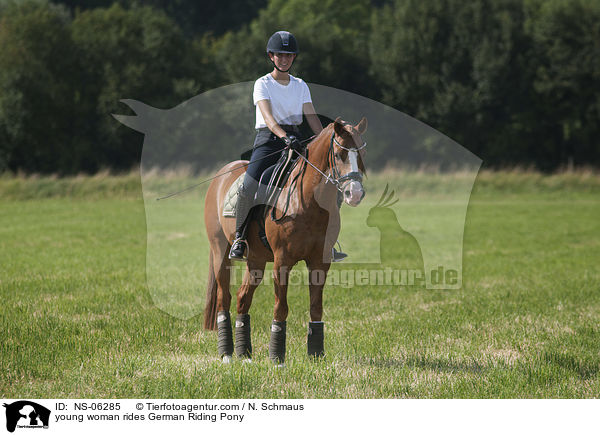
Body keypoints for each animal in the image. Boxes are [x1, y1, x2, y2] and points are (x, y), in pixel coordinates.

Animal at [204, 116, 368, 364]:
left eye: (360, 154)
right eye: (340, 154)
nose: (355, 194)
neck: (307, 201)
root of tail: (222, 173)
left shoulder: (319, 263)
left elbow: (316, 307)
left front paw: (316, 355)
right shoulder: (282, 262)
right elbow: (281, 308)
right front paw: (277, 358)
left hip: (255, 261)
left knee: (243, 298)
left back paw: (245, 354)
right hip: (220, 252)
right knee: (225, 298)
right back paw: (227, 354)